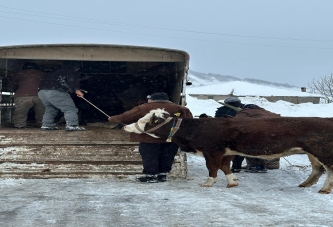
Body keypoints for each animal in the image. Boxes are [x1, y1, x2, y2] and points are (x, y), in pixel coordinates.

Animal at [123, 108, 332, 193]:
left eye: (147, 120)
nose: (126, 126)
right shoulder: (227, 152)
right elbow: (225, 167)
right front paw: (232, 182)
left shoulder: (212, 150)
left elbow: (213, 168)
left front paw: (208, 183)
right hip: (312, 152)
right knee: (318, 168)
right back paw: (305, 184)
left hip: (322, 150)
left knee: (329, 169)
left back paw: (325, 189)